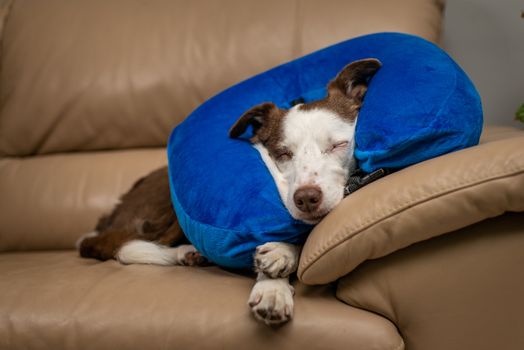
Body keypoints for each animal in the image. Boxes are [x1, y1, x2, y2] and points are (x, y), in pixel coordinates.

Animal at [78, 56, 380, 326]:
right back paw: (185, 252)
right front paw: (273, 284)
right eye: (282, 154)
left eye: (338, 145)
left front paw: (280, 258)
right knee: (130, 244)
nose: (305, 199)